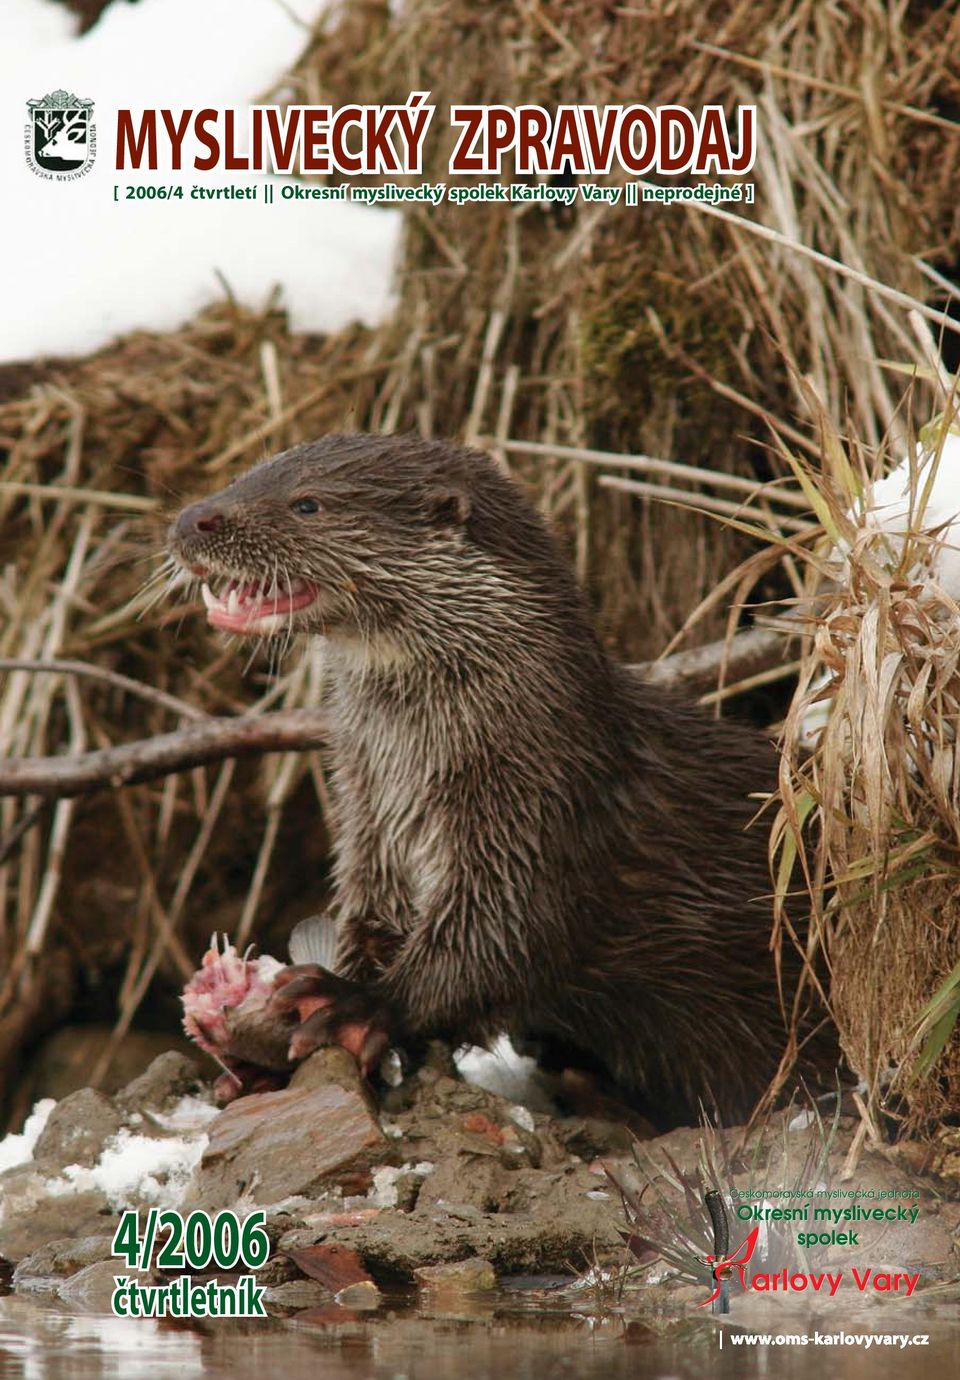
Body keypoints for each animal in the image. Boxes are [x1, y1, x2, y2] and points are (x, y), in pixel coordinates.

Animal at [168, 430, 805, 1120]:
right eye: (247, 475)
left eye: (308, 504)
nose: (192, 518)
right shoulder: (371, 825)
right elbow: (373, 919)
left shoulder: (540, 815)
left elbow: (500, 941)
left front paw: (357, 1003)